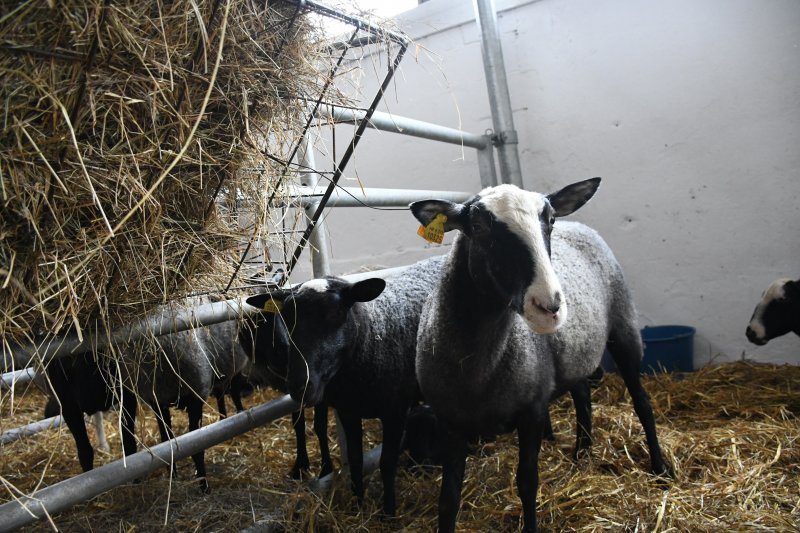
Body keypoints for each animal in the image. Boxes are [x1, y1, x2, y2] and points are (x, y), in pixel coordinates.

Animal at [410, 179, 672, 532]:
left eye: (550, 219)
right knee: (582, 393)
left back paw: (660, 469)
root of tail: (579, 225)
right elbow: (448, 500)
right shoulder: (449, 423)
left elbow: (527, 483)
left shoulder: (532, 410)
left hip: (624, 327)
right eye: (478, 226)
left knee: (642, 402)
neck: (476, 368)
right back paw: (582, 452)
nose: (550, 306)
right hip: (574, 353)